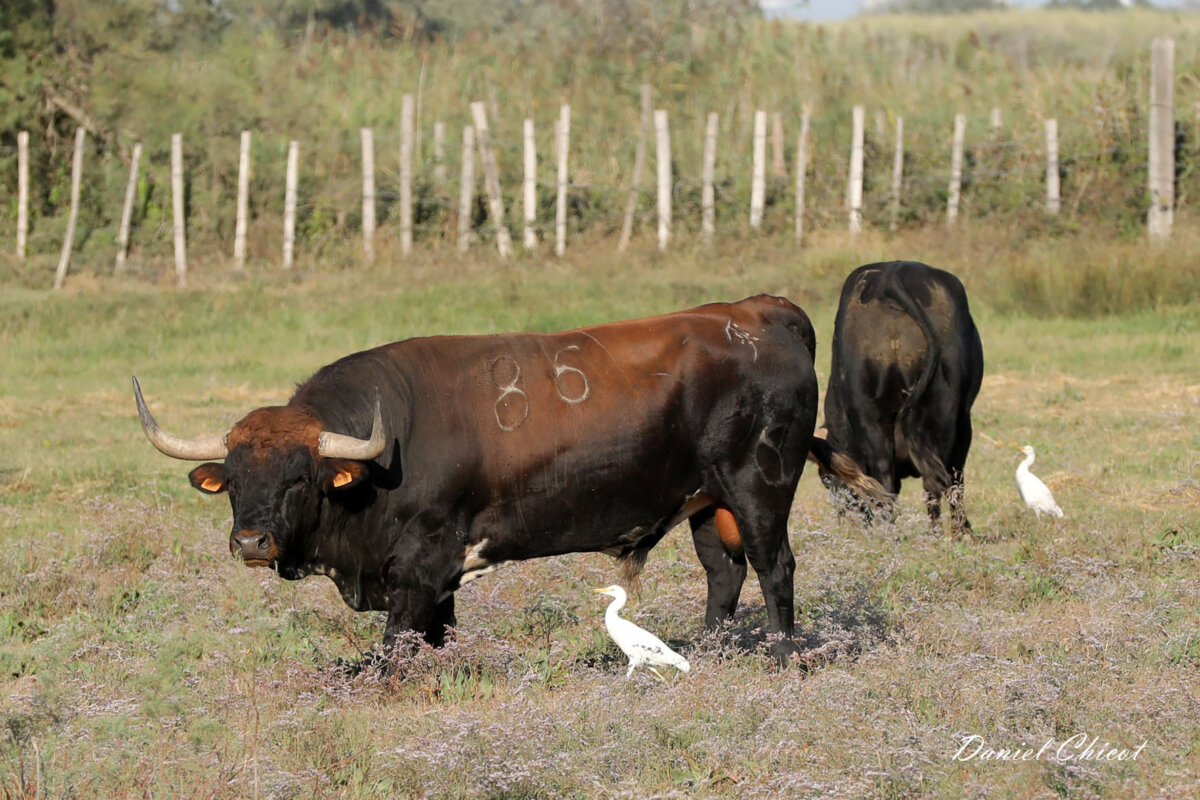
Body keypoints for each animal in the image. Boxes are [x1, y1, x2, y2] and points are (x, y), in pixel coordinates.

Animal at [134, 295, 883, 664]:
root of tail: (763, 311)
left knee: (774, 567)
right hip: (706, 500)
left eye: (299, 477)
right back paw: (711, 652)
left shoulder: (420, 565)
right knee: (723, 573)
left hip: (759, 487)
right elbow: (436, 642)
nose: (251, 543)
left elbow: (398, 651)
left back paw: (781, 657)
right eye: (234, 479)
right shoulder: (434, 580)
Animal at [818, 261, 984, 536]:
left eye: (828, 480)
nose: (846, 518)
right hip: (940, 415)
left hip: (880, 415)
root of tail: (893, 275)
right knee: (933, 481)